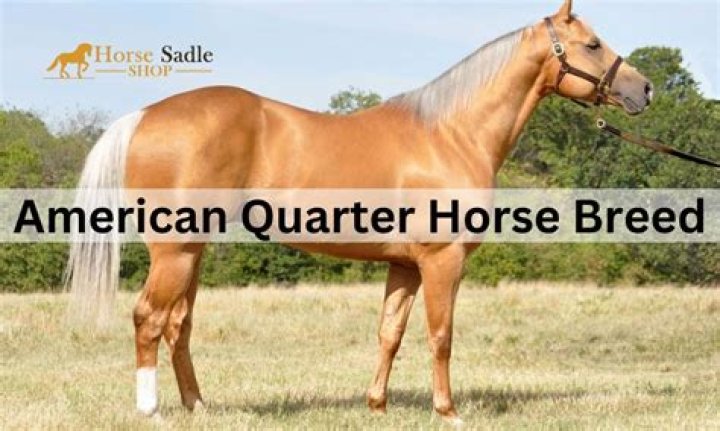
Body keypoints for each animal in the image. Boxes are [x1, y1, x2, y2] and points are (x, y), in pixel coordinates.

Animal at [65, 0, 652, 424]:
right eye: (593, 43)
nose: (643, 89)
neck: (451, 133)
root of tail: (144, 115)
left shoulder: (404, 265)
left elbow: (390, 333)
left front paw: (377, 405)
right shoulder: (442, 261)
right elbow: (441, 335)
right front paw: (448, 411)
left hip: (193, 251)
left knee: (178, 324)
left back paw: (199, 408)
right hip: (175, 252)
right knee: (148, 318)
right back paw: (151, 411)